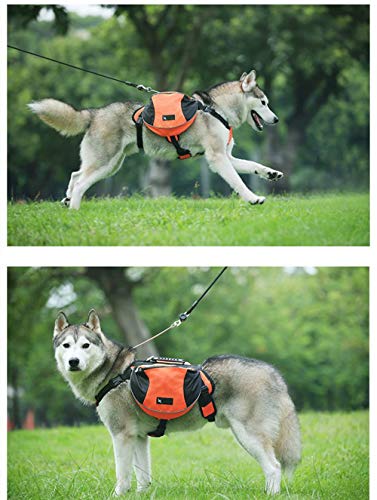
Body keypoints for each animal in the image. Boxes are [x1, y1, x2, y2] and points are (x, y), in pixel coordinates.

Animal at [30, 71, 282, 209]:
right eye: (264, 103)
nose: (277, 119)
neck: (217, 109)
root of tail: (94, 113)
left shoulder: (228, 156)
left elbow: (253, 166)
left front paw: (271, 173)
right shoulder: (217, 158)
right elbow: (238, 182)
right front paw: (252, 198)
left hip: (110, 164)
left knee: (76, 175)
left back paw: (67, 199)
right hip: (105, 162)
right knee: (82, 182)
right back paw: (74, 210)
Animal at [53, 310, 300, 494]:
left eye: (85, 345)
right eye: (66, 346)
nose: (73, 362)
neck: (114, 371)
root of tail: (272, 372)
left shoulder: (121, 435)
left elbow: (122, 476)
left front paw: (118, 495)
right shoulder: (139, 437)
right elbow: (143, 475)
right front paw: (142, 494)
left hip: (248, 435)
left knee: (274, 467)